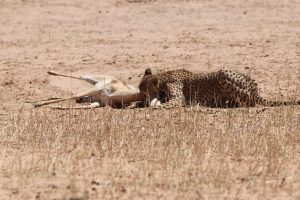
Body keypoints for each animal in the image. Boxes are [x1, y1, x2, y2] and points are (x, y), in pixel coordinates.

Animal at [138, 68, 300, 109]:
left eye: (143, 89)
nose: (140, 94)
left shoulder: (179, 99)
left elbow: (170, 103)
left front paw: (154, 107)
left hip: (223, 72)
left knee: (250, 102)